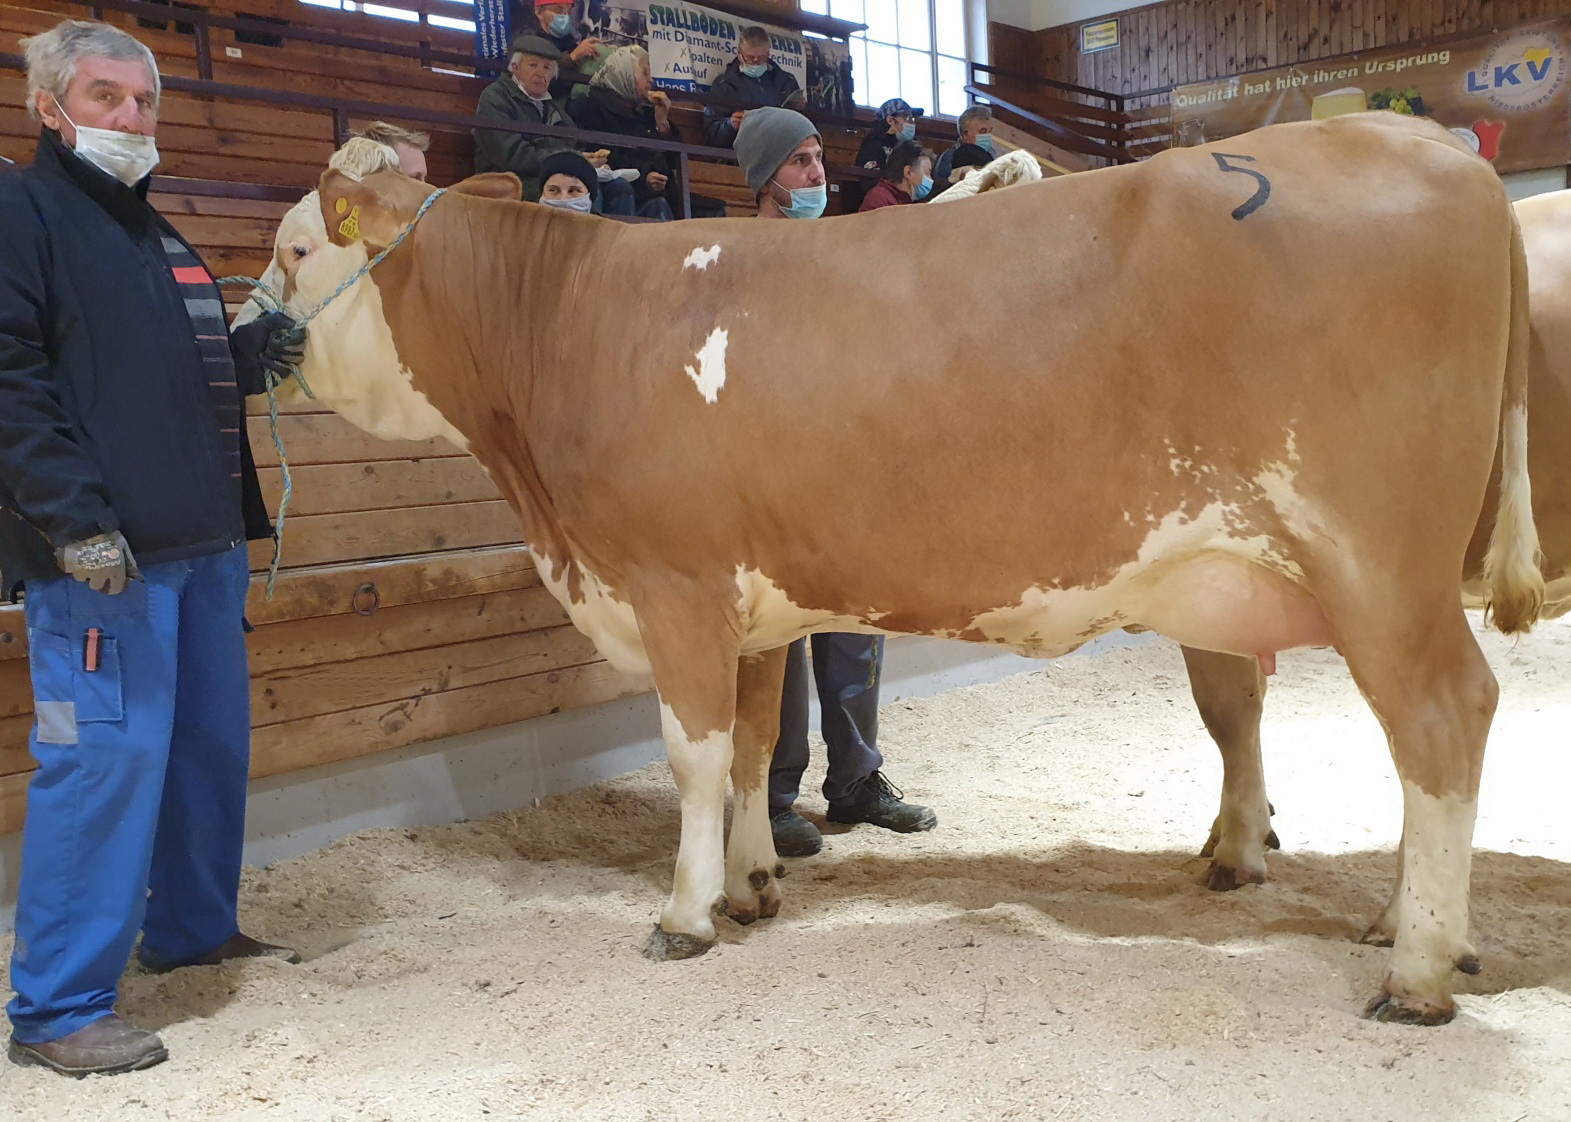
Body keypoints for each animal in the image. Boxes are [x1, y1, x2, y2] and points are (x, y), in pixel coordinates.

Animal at [267, 113, 1533, 1024]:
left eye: (292, 247)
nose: (244, 325)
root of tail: (1423, 143)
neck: (570, 321)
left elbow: (692, 756)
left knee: (1442, 719)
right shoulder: (749, 605)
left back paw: (1414, 971)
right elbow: (750, 748)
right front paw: (750, 886)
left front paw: (683, 915)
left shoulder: (674, 583)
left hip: (1376, 568)